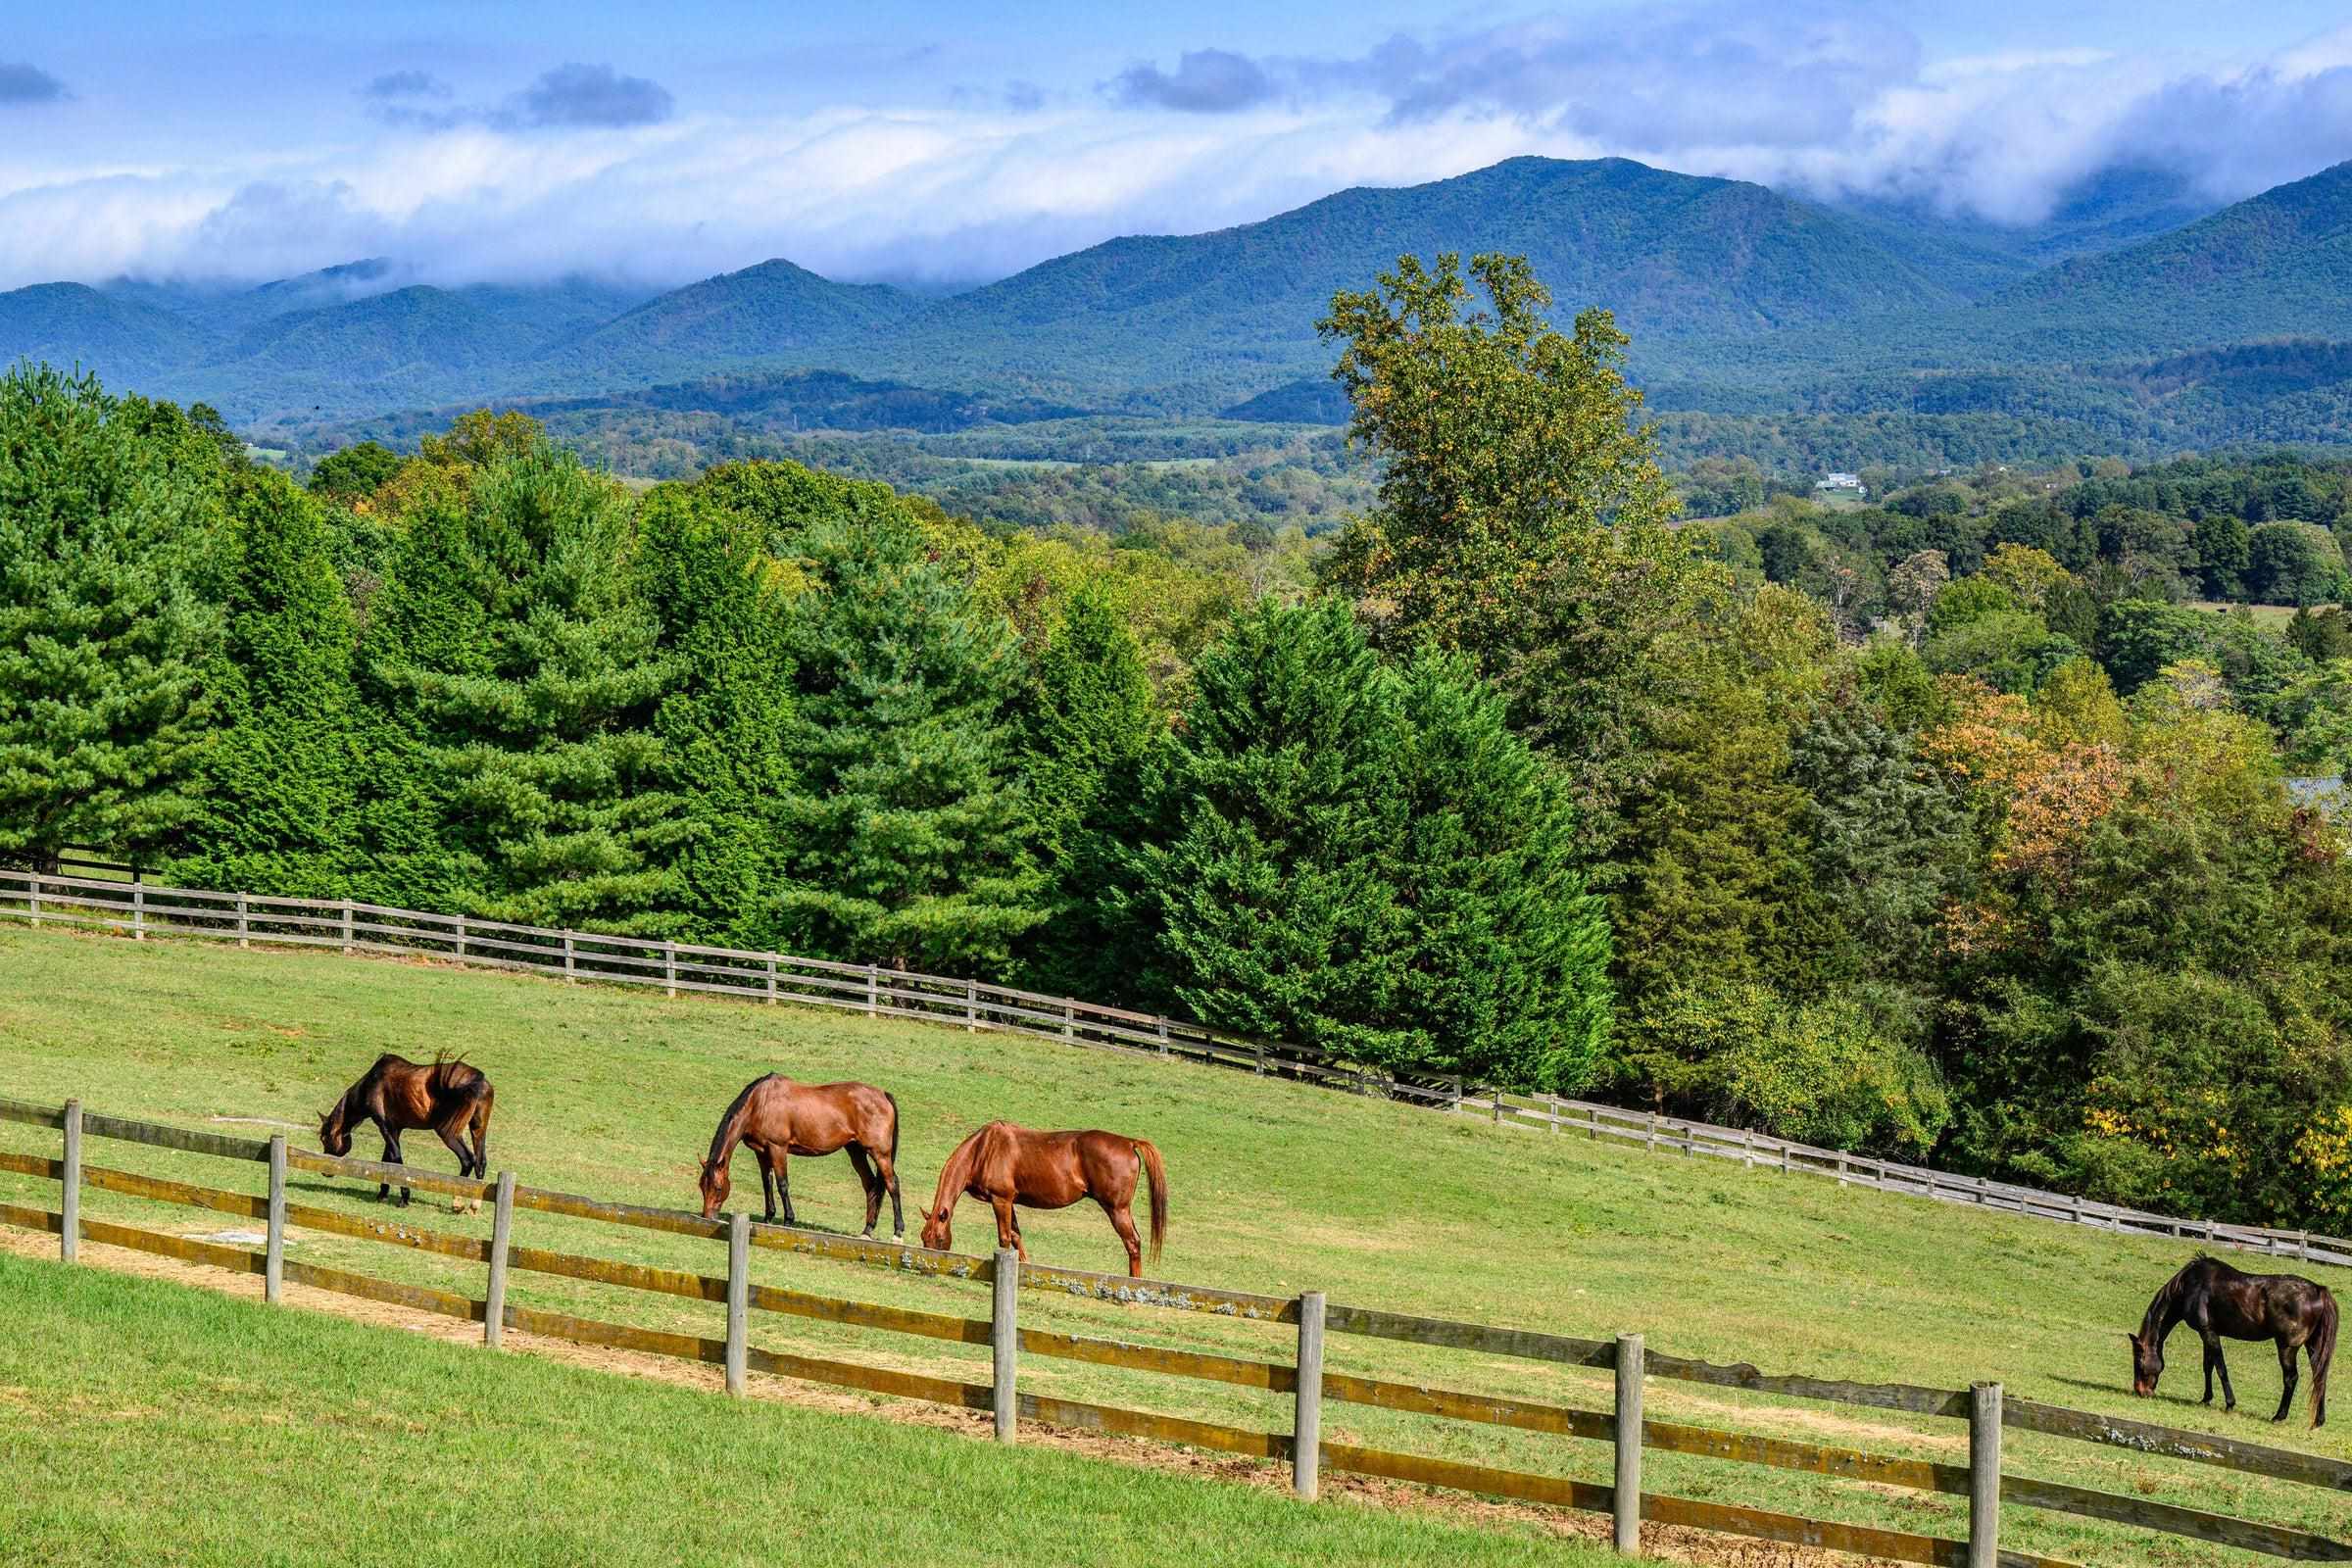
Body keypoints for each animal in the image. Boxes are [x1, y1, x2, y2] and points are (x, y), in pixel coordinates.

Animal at [319, 1053, 494, 1212]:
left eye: (323, 1138)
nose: (325, 1171)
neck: (371, 1084)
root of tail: (477, 1079)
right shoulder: (394, 1129)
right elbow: (388, 1161)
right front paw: (382, 1194)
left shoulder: (385, 1127)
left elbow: (396, 1160)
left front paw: (404, 1198)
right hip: (478, 1130)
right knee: (480, 1161)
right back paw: (473, 1206)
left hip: (448, 1134)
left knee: (468, 1160)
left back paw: (457, 1203)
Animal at [691, 1071, 903, 1241]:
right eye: (702, 1186)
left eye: (718, 1188)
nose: (707, 1218)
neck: (760, 1102)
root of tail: (883, 1094)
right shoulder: (761, 1152)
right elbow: (767, 1183)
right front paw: (768, 1217)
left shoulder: (778, 1148)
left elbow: (782, 1184)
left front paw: (788, 1220)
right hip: (856, 1151)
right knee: (871, 1185)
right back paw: (867, 1230)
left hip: (880, 1153)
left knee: (892, 1183)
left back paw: (898, 1232)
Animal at [921, 1123, 1171, 1278]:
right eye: (924, 1238)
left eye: (940, 1239)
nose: (928, 1268)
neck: (983, 1149)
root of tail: (1129, 1142)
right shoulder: (1010, 1202)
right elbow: (1016, 1236)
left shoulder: (1001, 1200)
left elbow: (1005, 1238)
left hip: (1117, 1210)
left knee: (1133, 1243)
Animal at [2135, 1259, 2332, 1429]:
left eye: (2139, 1364)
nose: (2140, 1391)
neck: (2189, 1286)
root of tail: (2318, 1290)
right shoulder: (2207, 1334)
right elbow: (2208, 1367)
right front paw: (2206, 1399)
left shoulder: (2209, 1333)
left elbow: (2221, 1369)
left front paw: (2229, 1404)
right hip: (2313, 1346)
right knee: (2319, 1377)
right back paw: (2318, 1421)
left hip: (2287, 1348)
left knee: (2291, 1378)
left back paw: (2279, 1416)